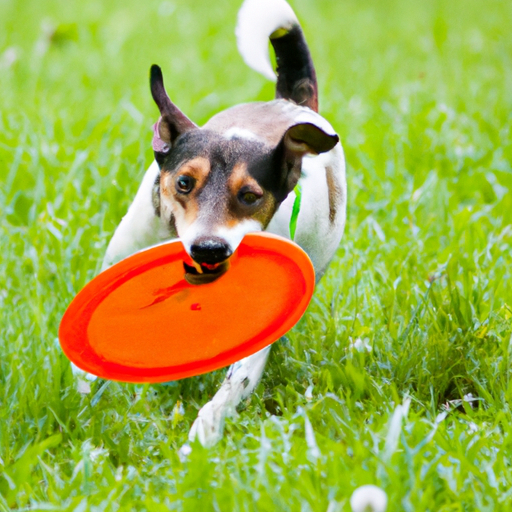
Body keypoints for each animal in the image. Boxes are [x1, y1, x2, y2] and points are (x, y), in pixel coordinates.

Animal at [101, 0, 346, 444]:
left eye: (250, 196)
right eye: (184, 182)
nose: (209, 248)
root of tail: (290, 102)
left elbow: (235, 382)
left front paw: (203, 435)